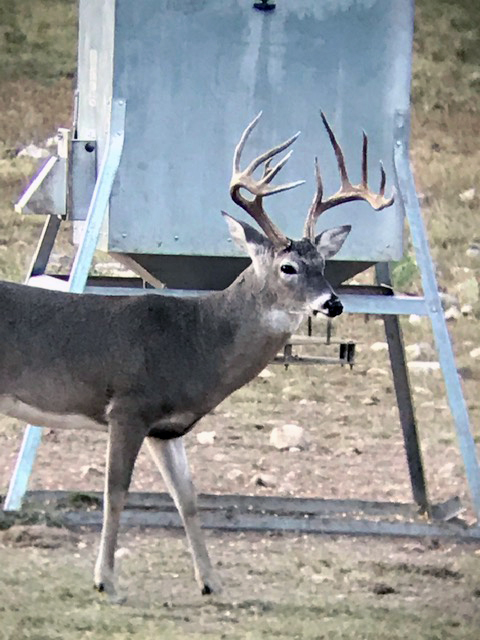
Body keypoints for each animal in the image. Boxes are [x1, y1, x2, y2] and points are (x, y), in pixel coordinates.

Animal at [1, 114, 394, 600]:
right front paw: (106, 580)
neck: (196, 341)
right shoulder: (129, 407)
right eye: (288, 267)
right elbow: (116, 491)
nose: (333, 303)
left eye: (324, 264)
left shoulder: (168, 428)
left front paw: (211, 582)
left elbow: (187, 497)